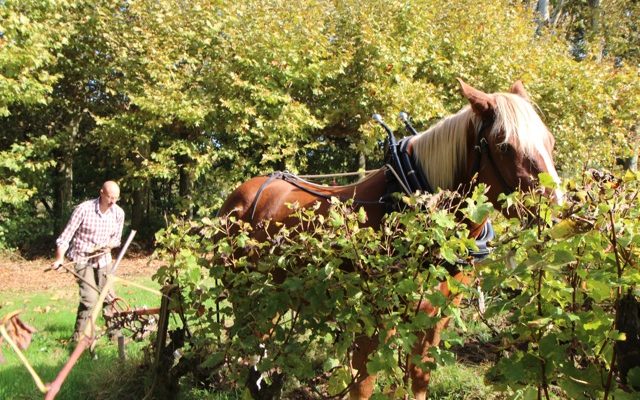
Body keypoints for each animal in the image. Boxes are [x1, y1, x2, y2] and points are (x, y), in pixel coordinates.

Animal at [219, 79, 560, 400]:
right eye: (503, 146)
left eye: (550, 142)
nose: (556, 212)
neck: (407, 202)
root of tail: (239, 198)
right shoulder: (373, 317)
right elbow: (363, 385)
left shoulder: (433, 319)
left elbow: (418, 381)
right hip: (247, 296)